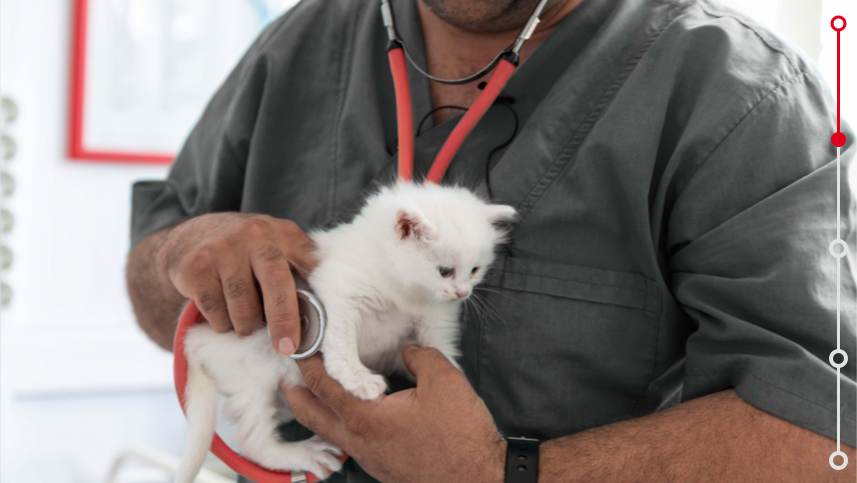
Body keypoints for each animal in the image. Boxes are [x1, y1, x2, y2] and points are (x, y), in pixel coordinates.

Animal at [171, 183, 512, 482]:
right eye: (445, 271)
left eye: (475, 270)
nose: (463, 293)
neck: (403, 289)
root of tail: (194, 341)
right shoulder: (341, 292)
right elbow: (343, 341)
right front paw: (358, 379)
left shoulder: (433, 325)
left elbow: (442, 355)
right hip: (253, 381)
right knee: (255, 443)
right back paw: (303, 455)